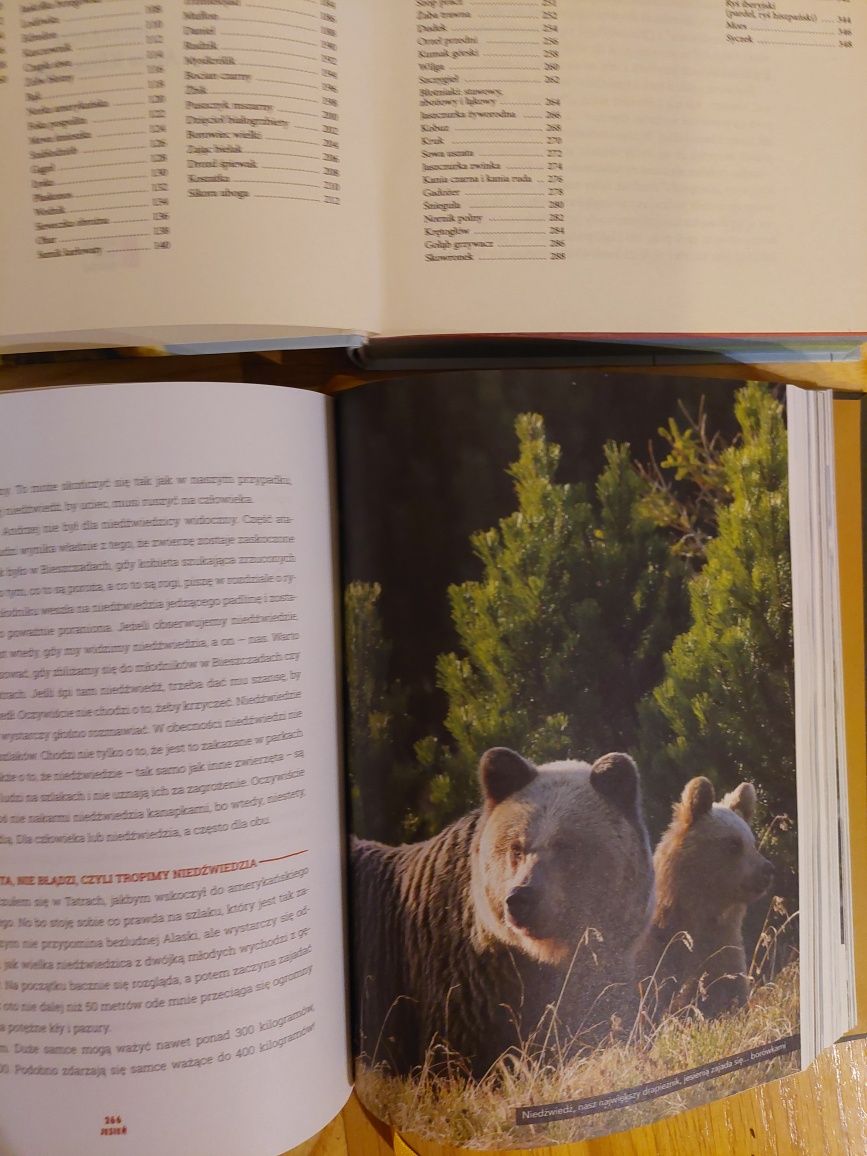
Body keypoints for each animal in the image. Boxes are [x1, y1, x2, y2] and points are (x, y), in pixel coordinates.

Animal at [638, 776, 772, 1021]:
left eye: (752, 842)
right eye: (733, 843)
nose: (767, 870)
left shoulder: (724, 950)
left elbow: (728, 994)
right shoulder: (658, 955)